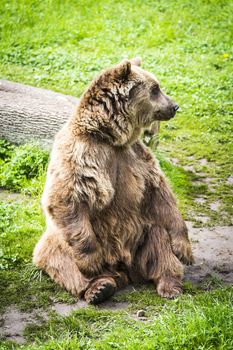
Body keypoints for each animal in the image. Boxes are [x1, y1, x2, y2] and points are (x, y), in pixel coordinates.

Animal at [33, 57, 193, 304]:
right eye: (155, 89)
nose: (175, 106)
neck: (111, 137)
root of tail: (125, 272)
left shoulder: (137, 156)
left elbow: (161, 194)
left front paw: (184, 249)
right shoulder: (80, 153)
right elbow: (67, 196)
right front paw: (92, 263)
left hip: (141, 237)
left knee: (159, 238)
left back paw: (170, 284)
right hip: (61, 241)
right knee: (59, 256)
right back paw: (99, 287)